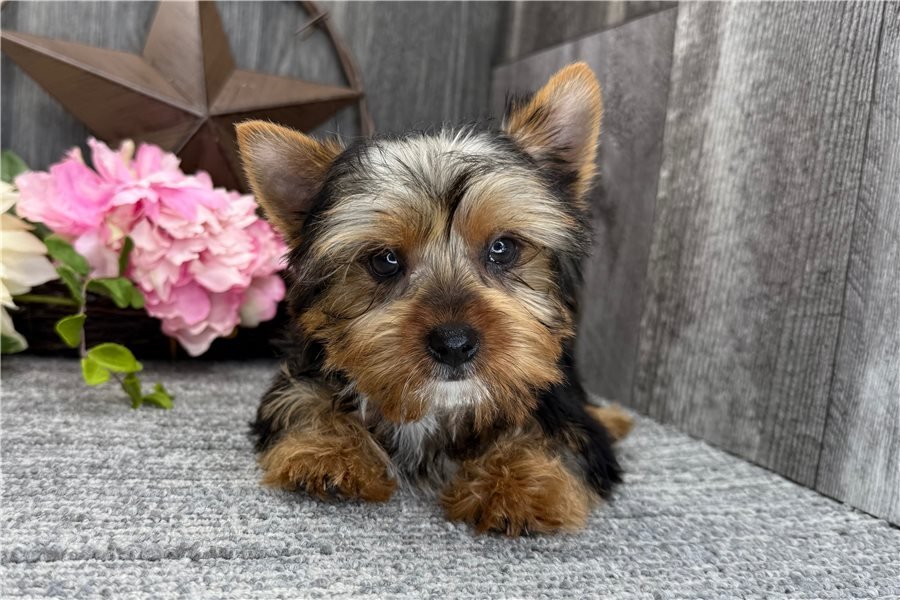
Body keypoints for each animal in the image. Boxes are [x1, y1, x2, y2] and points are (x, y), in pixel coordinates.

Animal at [235, 63, 632, 536]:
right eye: (384, 260)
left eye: (503, 248)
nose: (454, 343)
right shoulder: (304, 367)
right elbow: (303, 398)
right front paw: (327, 451)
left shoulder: (558, 401)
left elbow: (561, 433)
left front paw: (520, 484)